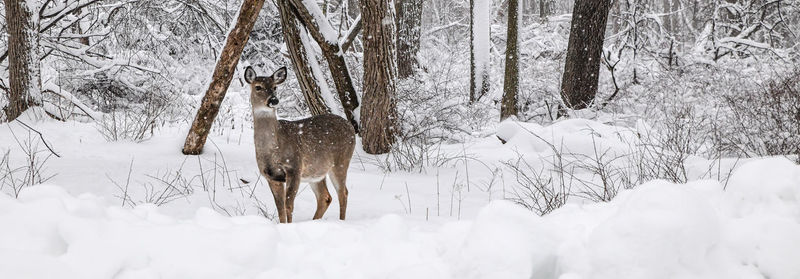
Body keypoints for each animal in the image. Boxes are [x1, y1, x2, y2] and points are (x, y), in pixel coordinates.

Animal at [244, 66, 356, 224]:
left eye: (275, 87)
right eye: (258, 87)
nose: (274, 100)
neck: (273, 150)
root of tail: (350, 127)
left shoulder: (294, 167)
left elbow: (289, 205)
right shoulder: (271, 176)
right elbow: (280, 208)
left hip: (341, 161)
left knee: (343, 192)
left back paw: (341, 221)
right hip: (316, 172)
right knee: (325, 197)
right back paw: (315, 221)